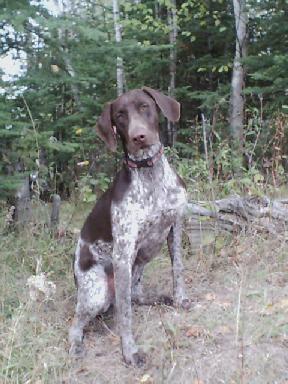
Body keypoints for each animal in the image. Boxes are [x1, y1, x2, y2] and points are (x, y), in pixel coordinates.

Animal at [69, 87, 190, 366]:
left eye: (145, 106)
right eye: (120, 116)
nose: (139, 136)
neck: (150, 175)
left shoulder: (175, 227)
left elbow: (177, 268)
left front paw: (180, 299)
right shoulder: (123, 254)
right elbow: (125, 314)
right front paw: (129, 351)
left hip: (142, 259)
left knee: (135, 295)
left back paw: (157, 298)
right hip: (96, 293)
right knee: (79, 321)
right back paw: (77, 344)